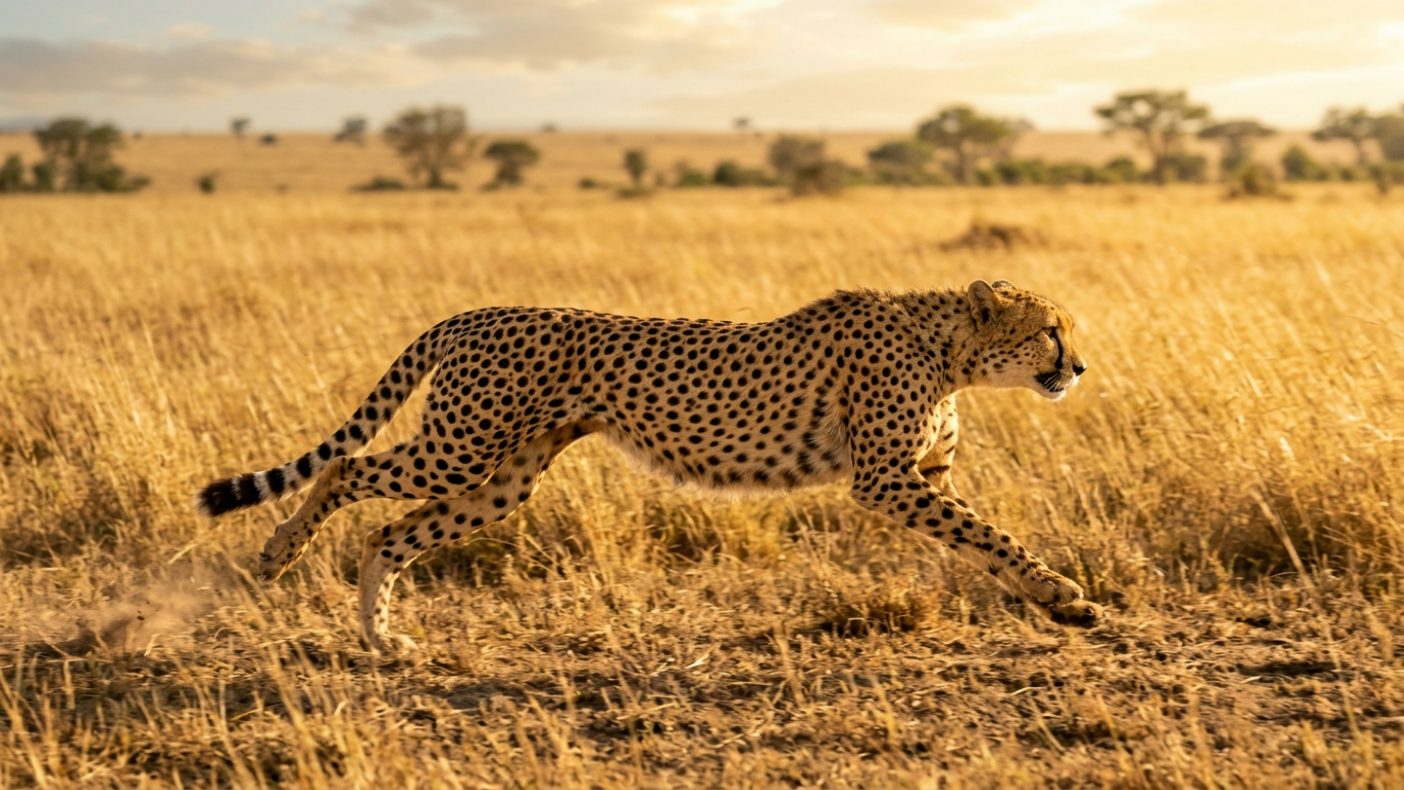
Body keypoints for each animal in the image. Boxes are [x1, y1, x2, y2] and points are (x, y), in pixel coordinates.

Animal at [197, 279, 1104, 653]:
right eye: (1050, 330)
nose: (1080, 366)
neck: (948, 348)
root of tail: (474, 312)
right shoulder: (886, 478)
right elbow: (991, 534)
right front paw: (1065, 593)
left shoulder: (925, 476)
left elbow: (985, 536)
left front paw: (1056, 603)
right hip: (461, 446)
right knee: (346, 470)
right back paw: (278, 555)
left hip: (504, 477)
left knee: (388, 533)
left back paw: (382, 639)